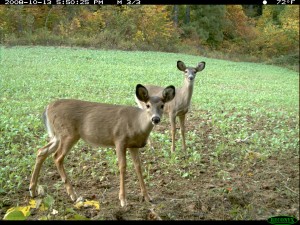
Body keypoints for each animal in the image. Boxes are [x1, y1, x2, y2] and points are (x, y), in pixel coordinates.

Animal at [29, 84, 175, 207]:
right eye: (148, 105)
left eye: (162, 105)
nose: (155, 119)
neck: (137, 124)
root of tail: (47, 108)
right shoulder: (119, 140)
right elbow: (122, 166)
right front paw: (123, 200)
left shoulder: (133, 146)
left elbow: (138, 167)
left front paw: (147, 197)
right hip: (68, 134)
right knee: (57, 157)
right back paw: (73, 195)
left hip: (57, 136)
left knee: (41, 151)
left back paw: (32, 190)